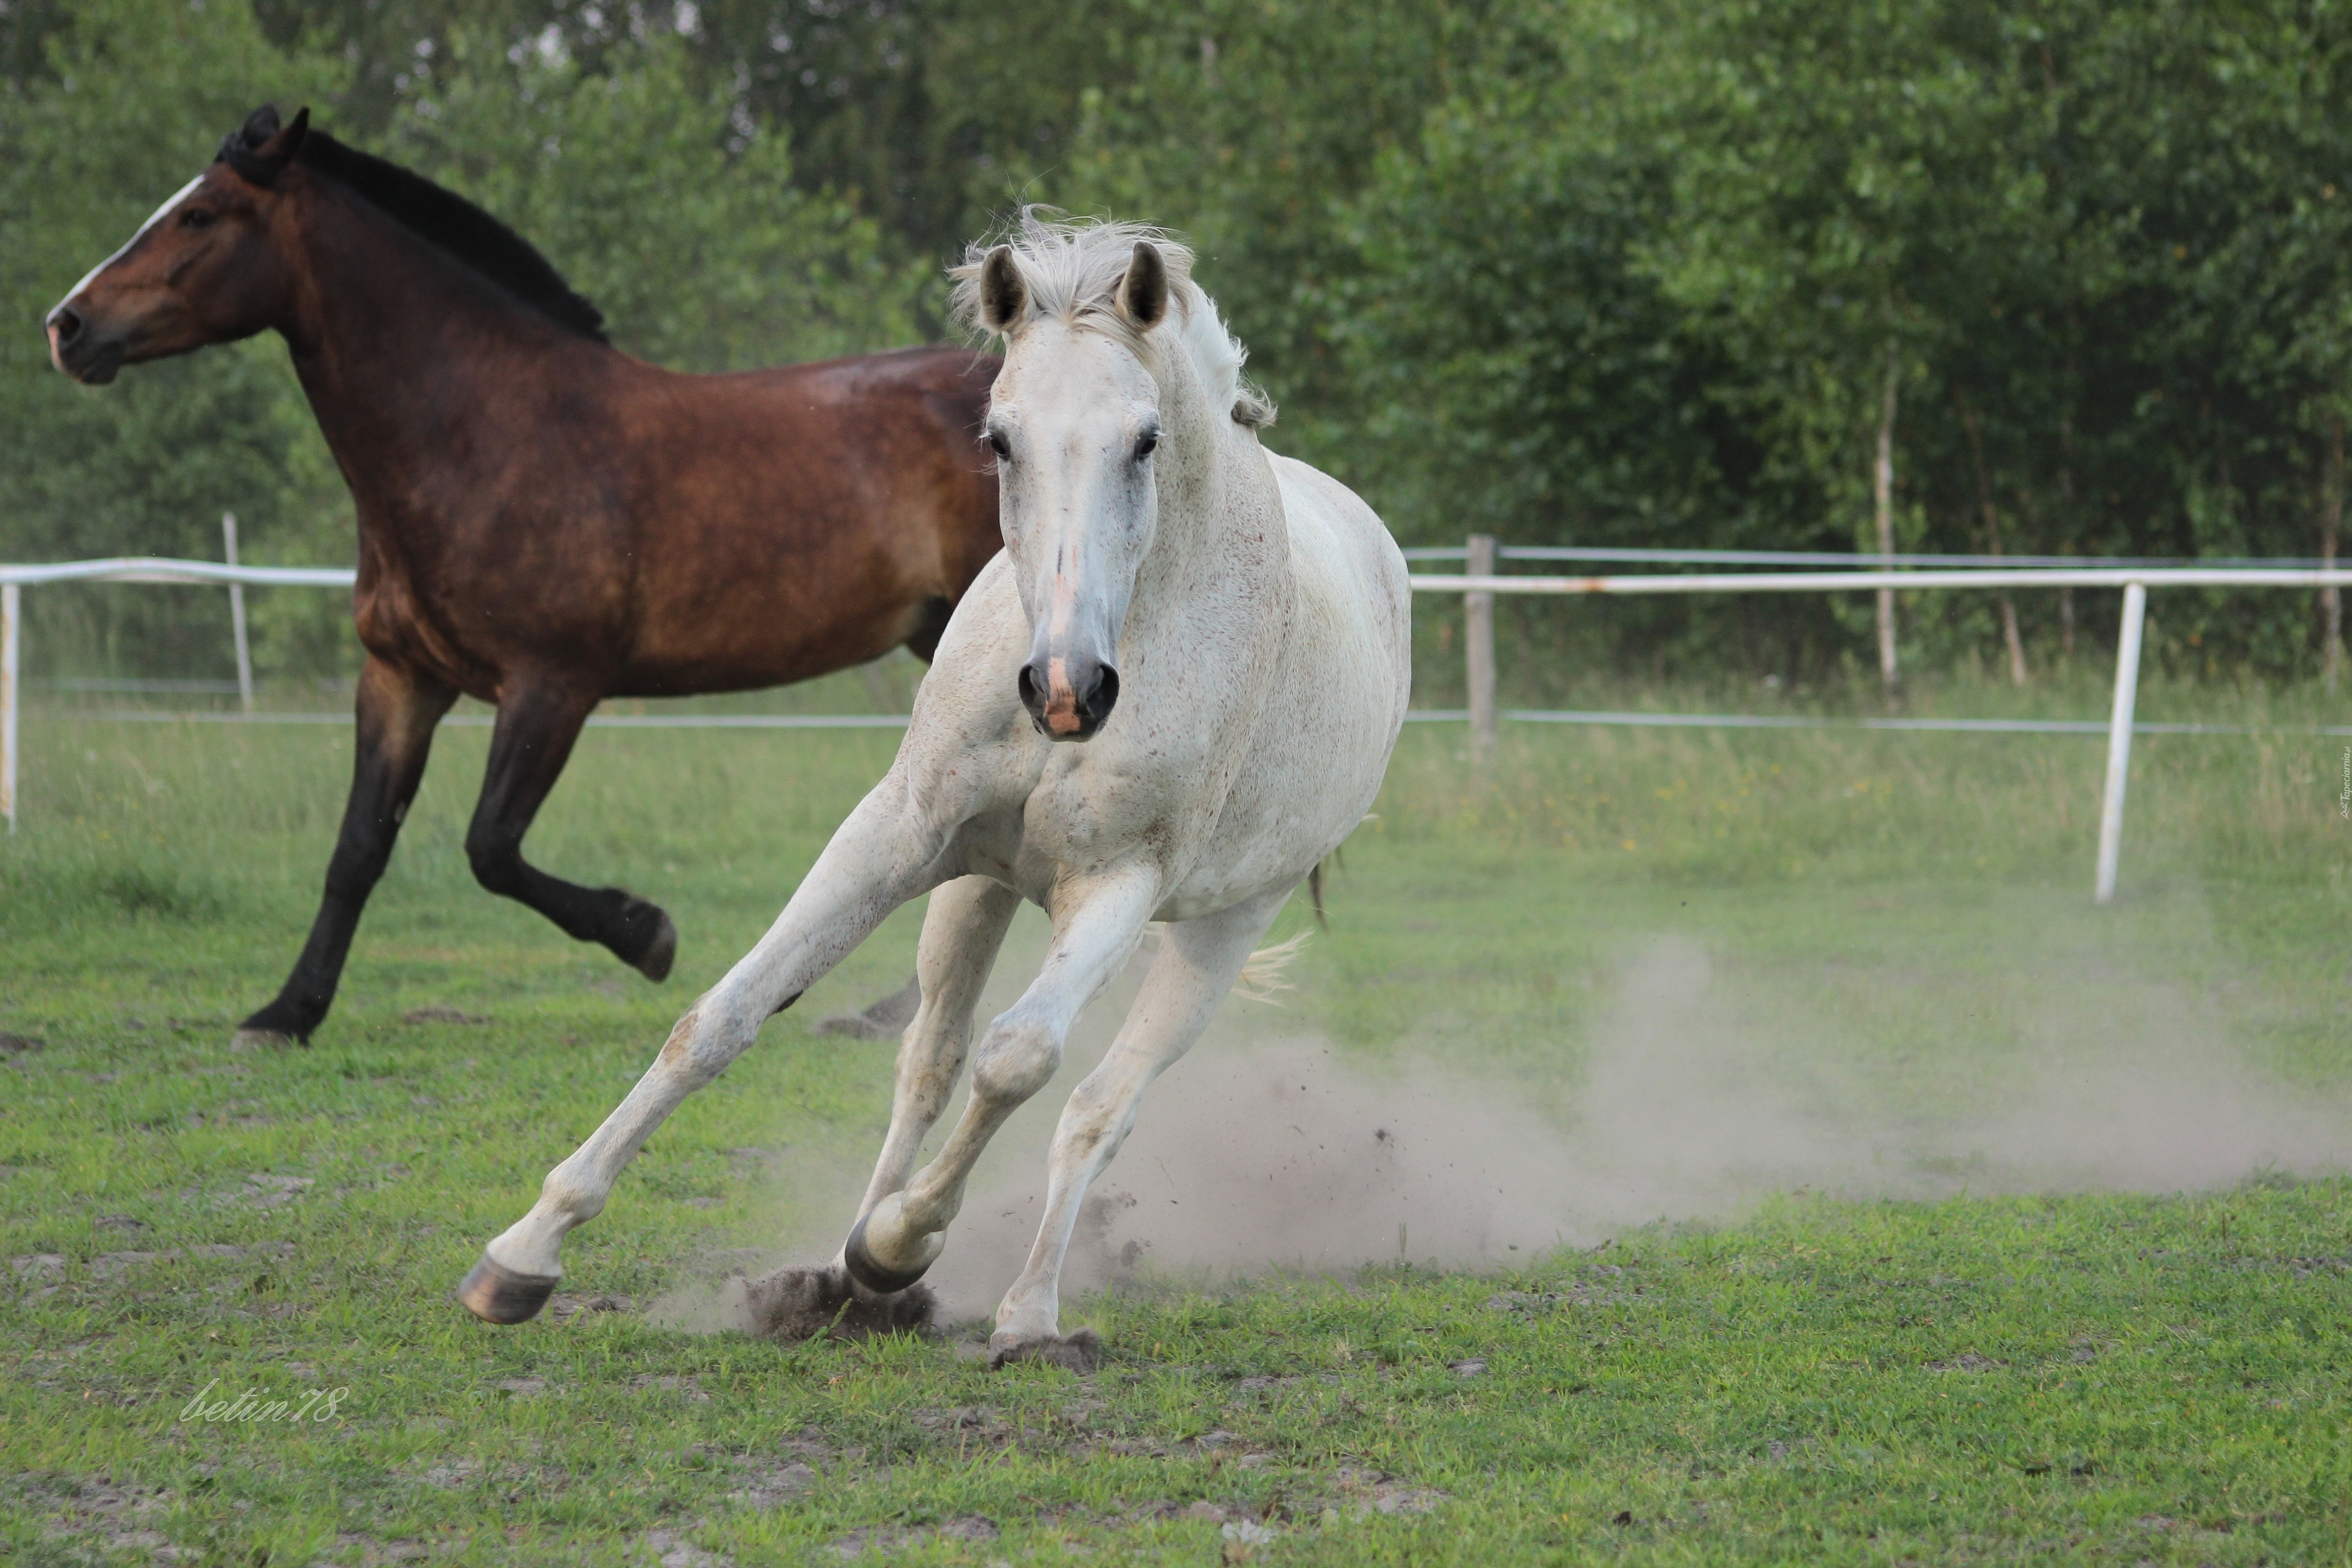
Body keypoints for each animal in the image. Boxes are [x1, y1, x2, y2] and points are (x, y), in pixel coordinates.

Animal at [46, 107, 997, 1043]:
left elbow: (490, 848)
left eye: (200, 216)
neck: (486, 435)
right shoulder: (401, 680)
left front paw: (646, 932)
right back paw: (885, 1010)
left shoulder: (551, 686)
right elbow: (357, 851)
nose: (68, 326)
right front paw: (288, 1012)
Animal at [461, 215, 1411, 1363]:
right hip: (980, 886)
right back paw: (837, 1283)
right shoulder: (902, 833)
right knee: (928, 1061)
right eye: (997, 439)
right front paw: (523, 1251)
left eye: (1145, 440)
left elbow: (1022, 1061)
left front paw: (900, 1243)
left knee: (1099, 1102)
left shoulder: (1121, 884)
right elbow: (725, 1016)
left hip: (1220, 928)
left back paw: (1018, 1308)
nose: (1065, 690)